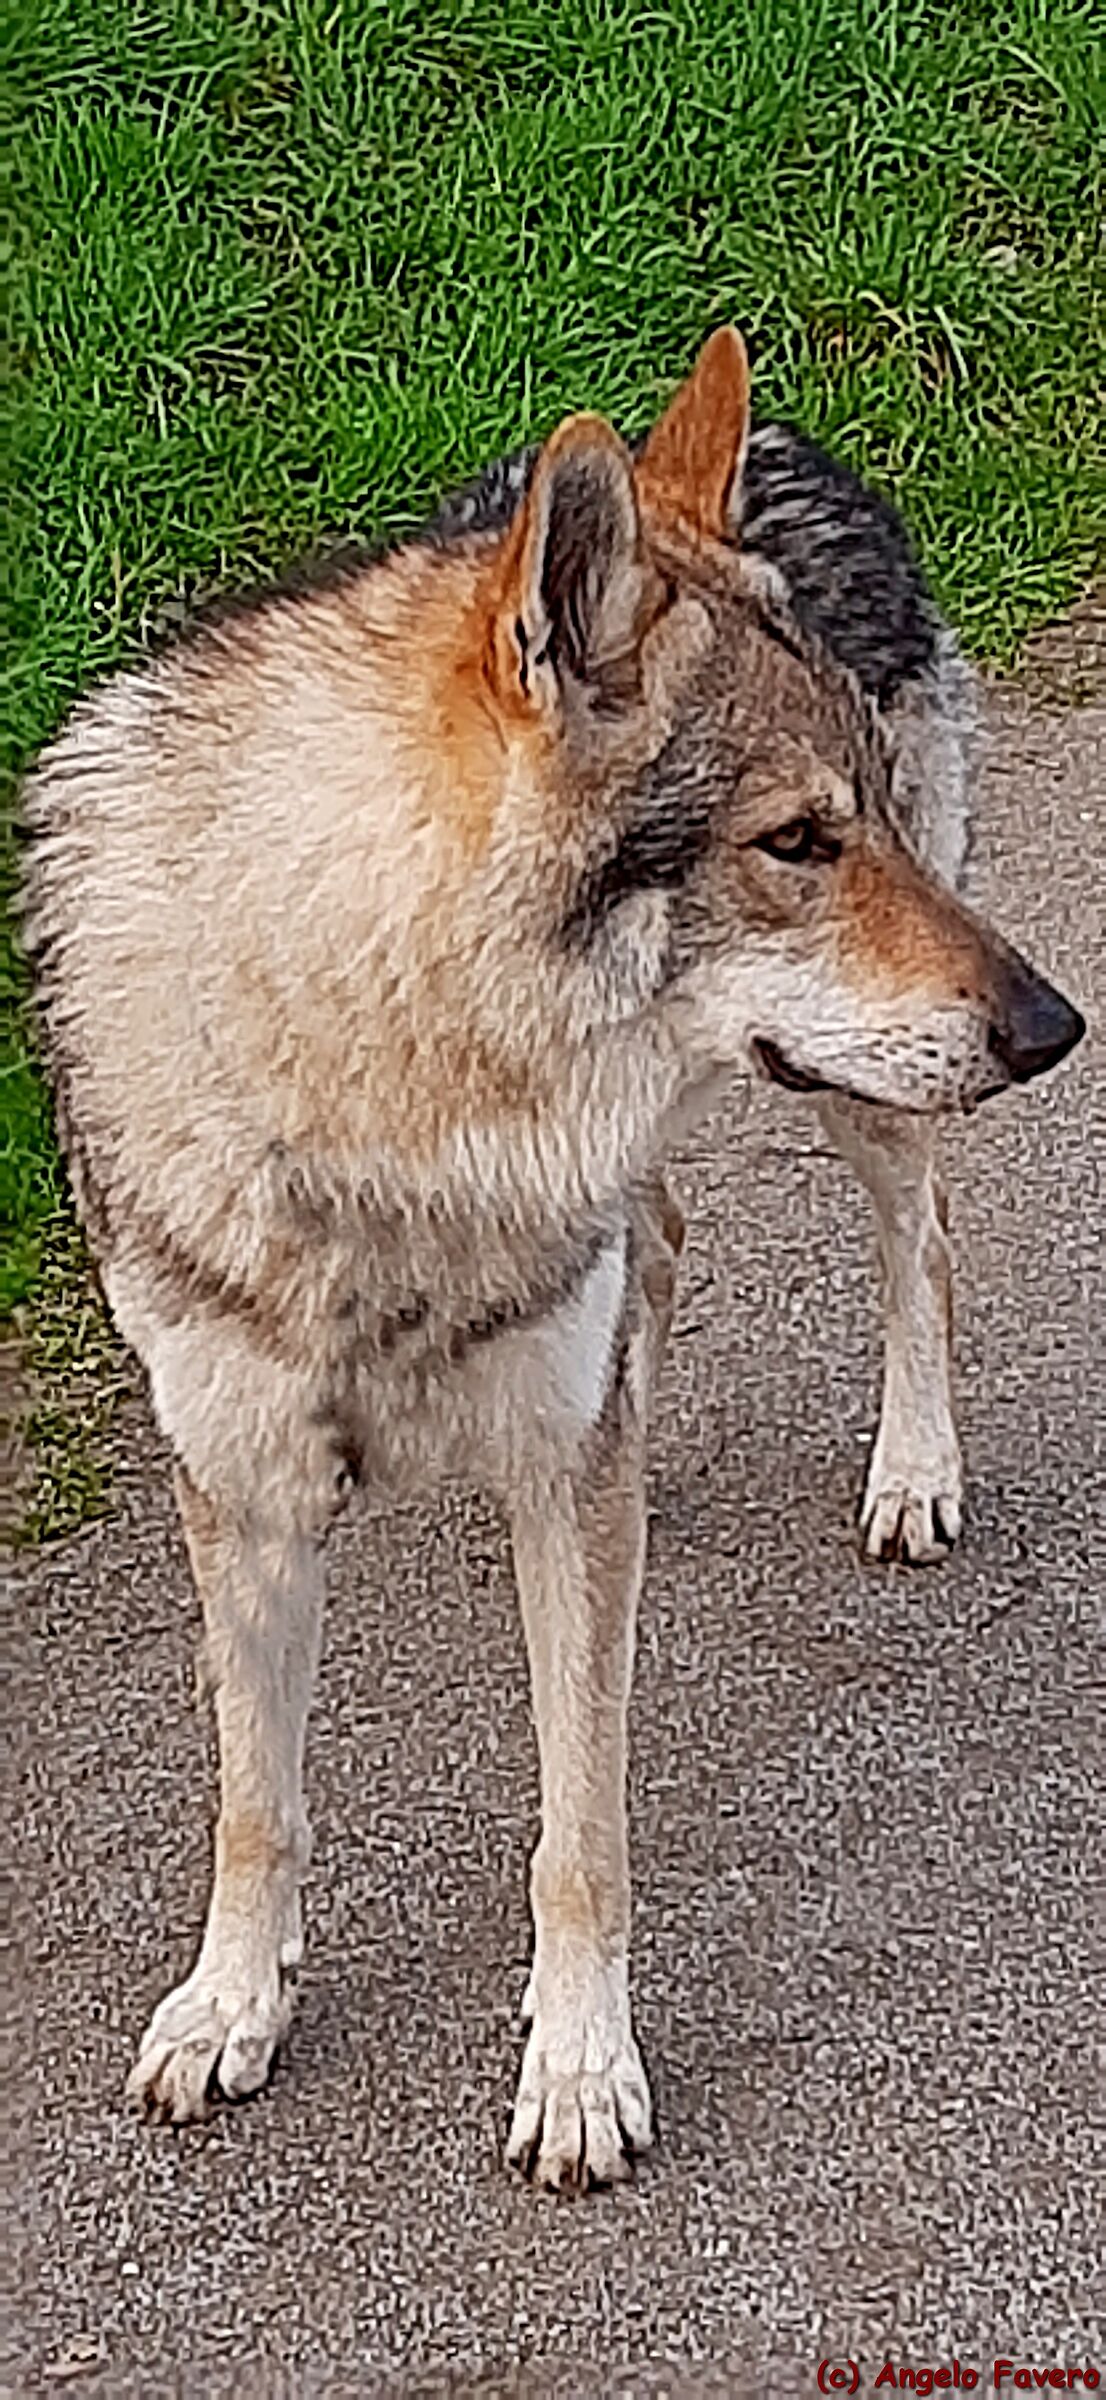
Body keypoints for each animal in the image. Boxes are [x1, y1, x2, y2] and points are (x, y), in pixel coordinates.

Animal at [22, 330, 1084, 2189]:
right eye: (793, 843)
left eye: (861, 819)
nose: (1055, 1027)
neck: (383, 1109)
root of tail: (782, 432)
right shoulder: (236, 1486)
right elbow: (254, 1800)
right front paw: (232, 2008)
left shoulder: (558, 1509)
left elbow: (578, 1832)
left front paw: (581, 2075)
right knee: (658, 1249)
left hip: (860, 1111)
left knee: (918, 1238)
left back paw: (913, 1471)